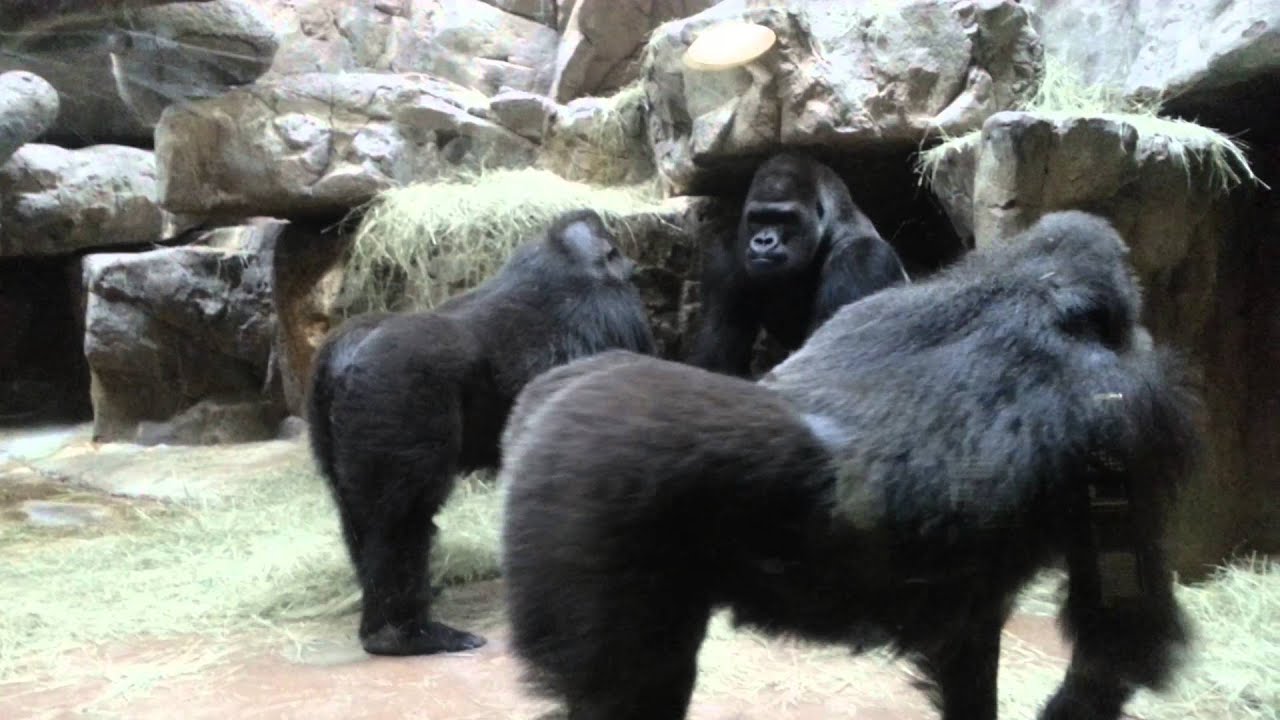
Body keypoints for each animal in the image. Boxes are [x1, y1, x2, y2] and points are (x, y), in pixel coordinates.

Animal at [307, 208, 655, 657]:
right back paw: (402, 634)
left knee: (358, 515)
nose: (635, 268)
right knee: (401, 520)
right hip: (399, 386)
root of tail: (346, 357)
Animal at [498, 210, 1201, 720]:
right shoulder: (1132, 415)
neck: (1033, 287)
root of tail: (536, 416)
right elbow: (1118, 635)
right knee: (632, 694)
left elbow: (970, 644)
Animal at [687, 152, 909, 377]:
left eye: (786, 219)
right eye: (757, 219)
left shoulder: (861, 258)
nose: (764, 241)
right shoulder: (725, 261)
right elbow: (715, 363)